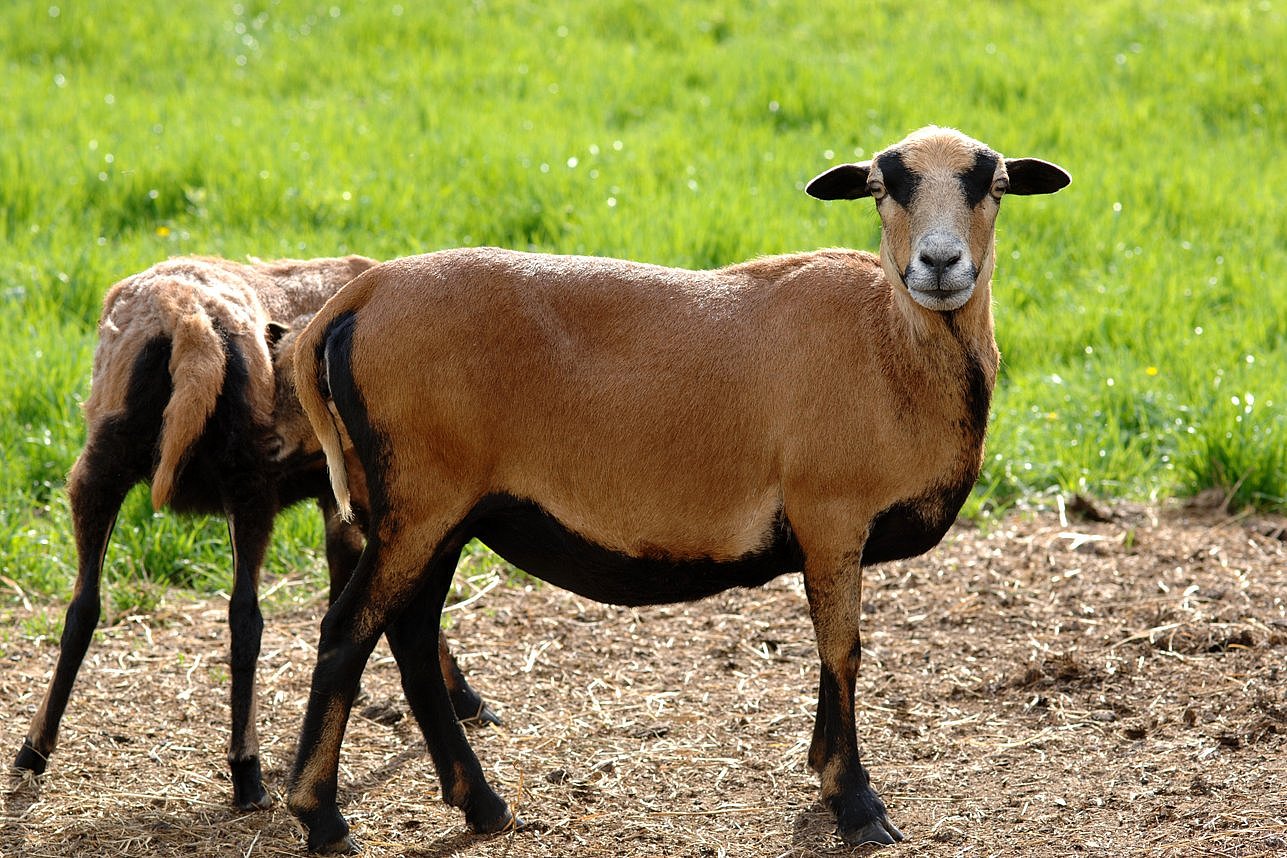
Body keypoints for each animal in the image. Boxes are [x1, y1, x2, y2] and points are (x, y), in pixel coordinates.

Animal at [16, 254, 496, 812]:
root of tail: (187, 317)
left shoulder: (342, 496)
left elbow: (344, 575)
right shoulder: (374, 491)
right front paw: (467, 701)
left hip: (102, 460)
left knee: (82, 608)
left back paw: (33, 751)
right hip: (247, 482)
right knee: (245, 617)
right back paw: (247, 773)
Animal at [287, 127, 1070, 854]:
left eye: (996, 185)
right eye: (880, 188)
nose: (939, 264)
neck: (890, 347)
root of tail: (358, 298)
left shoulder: (829, 533)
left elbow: (831, 650)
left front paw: (823, 771)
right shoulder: (830, 514)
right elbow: (842, 649)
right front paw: (855, 804)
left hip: (433, 510)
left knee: (412, 638)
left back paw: (482, 804)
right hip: (422, 501)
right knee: (348, 633)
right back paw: (321, 816)